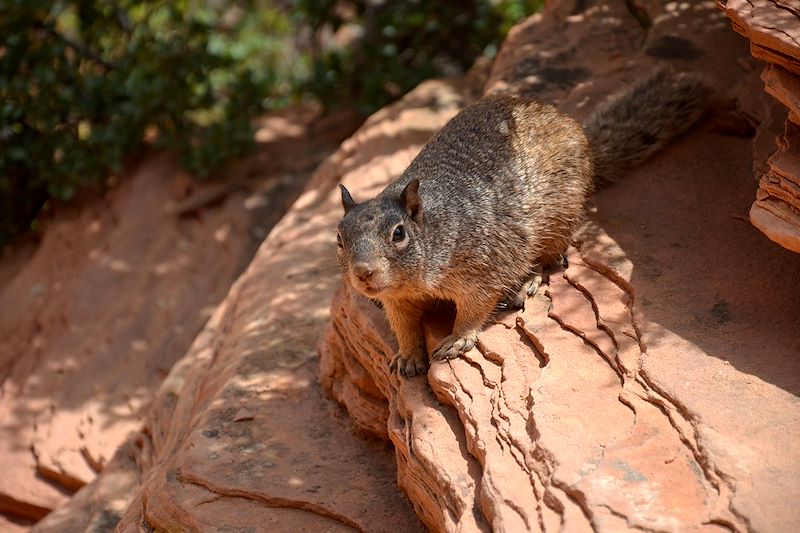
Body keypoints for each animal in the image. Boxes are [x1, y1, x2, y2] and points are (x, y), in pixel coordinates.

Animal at [334, 68, 708, 376]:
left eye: (398, 234)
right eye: (339, 238)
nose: (363, 273)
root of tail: (580, 135)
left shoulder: (481, 271)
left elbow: (473, 309)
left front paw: (458, 338)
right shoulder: (397, 301)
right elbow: (404, 326)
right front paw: (408, 356)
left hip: (556, 223)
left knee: (551, 261)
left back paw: (525, 283)